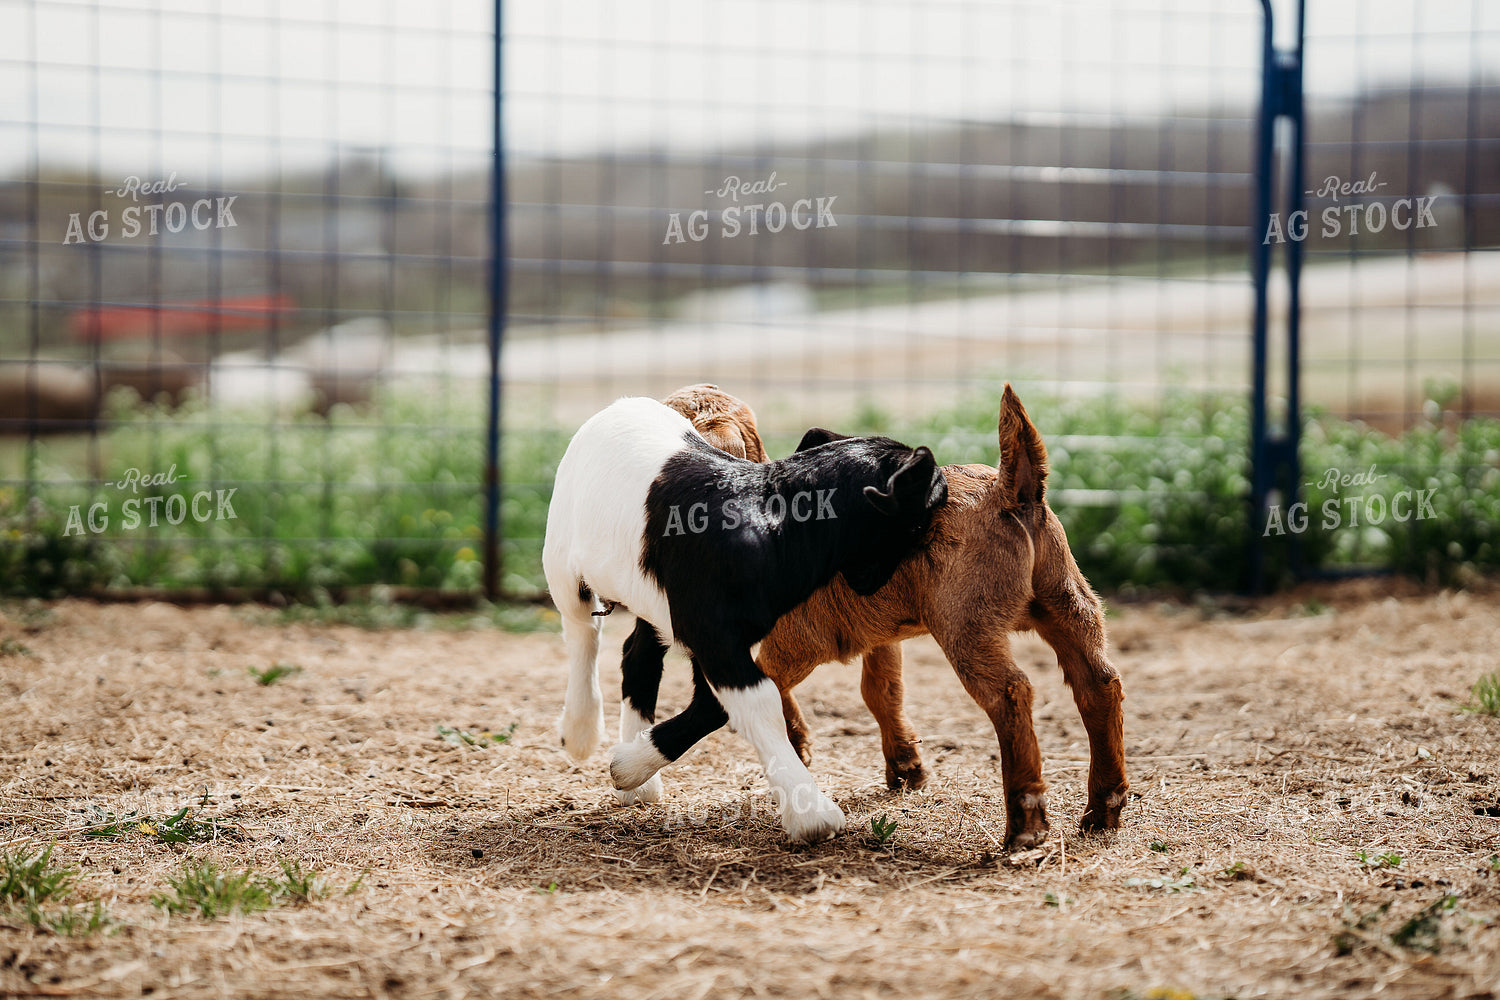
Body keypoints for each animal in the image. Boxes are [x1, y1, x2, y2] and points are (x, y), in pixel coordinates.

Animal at [542, 396, 948, 843]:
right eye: (933, 498)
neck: (777, 522)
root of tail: (621, 404)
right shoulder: (713, 633)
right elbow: (759, 700)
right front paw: (812, 814)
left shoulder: (724, 634)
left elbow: (720, 702)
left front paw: (629, 765)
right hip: (561, 556)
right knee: (583, 629)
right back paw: (580, 732)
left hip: (650, 597)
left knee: (637, 656)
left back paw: (639, 783)